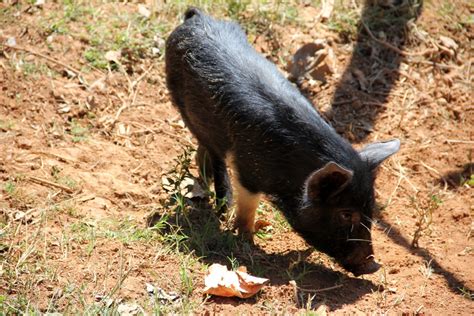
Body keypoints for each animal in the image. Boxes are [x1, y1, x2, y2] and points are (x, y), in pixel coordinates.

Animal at [165, 8, 398, 276]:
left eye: (371, 210)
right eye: (346, 213)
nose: (373, 265)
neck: (292, 170)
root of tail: (196, 16)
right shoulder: (248, 168)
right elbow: (248, 205)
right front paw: (246, 239)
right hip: (180, 101)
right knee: (214, 153)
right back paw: (222, 206)